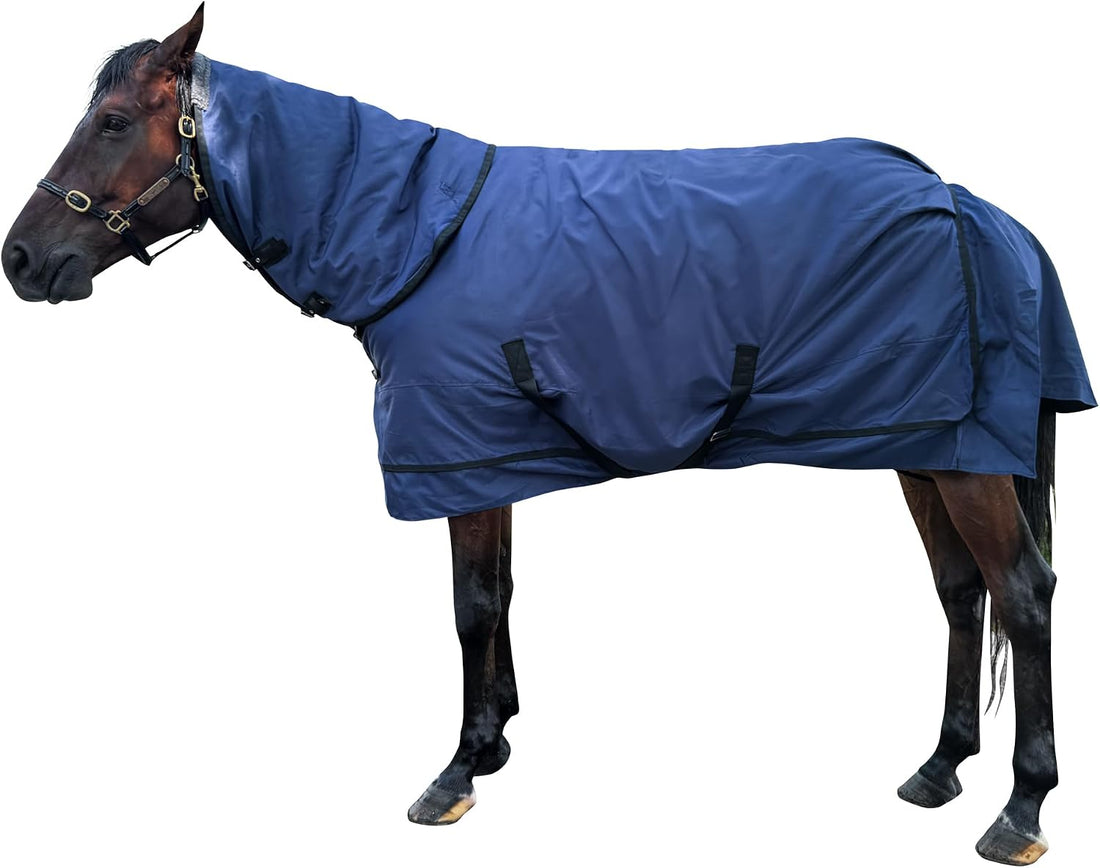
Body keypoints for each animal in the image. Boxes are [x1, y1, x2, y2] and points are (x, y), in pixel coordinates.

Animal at [3, 6, 1094, 864]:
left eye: (111, 121)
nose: (21, 260)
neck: (415, 234)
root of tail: (979, 209)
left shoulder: (457, 457)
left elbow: (471, 606)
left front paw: (453, 772)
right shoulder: (489, 456)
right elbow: (501, 596)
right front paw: (493, 742)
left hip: (964, 463)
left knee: (1021, 595)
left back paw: (1019, 809)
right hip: (926, 445)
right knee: (959, 594)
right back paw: (937, 768)